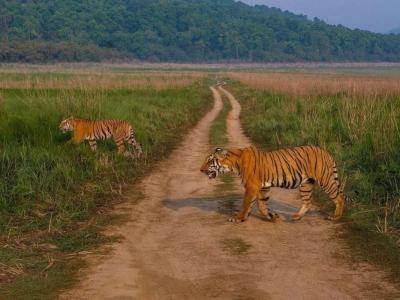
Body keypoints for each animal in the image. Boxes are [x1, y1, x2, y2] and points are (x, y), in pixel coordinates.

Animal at [200, 145, 346, 223]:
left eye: (210, 161)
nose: (200, 170)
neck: (235, 163)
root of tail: (326, 151)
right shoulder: (263, 188)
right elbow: (261, 205)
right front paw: (272, 216)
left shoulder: (251, 186)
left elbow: (247, 203)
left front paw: (238, 218)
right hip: (306, 183)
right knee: (307, 202)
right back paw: (297, 217)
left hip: (325, 180)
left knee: (339, 197)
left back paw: (335, 217)